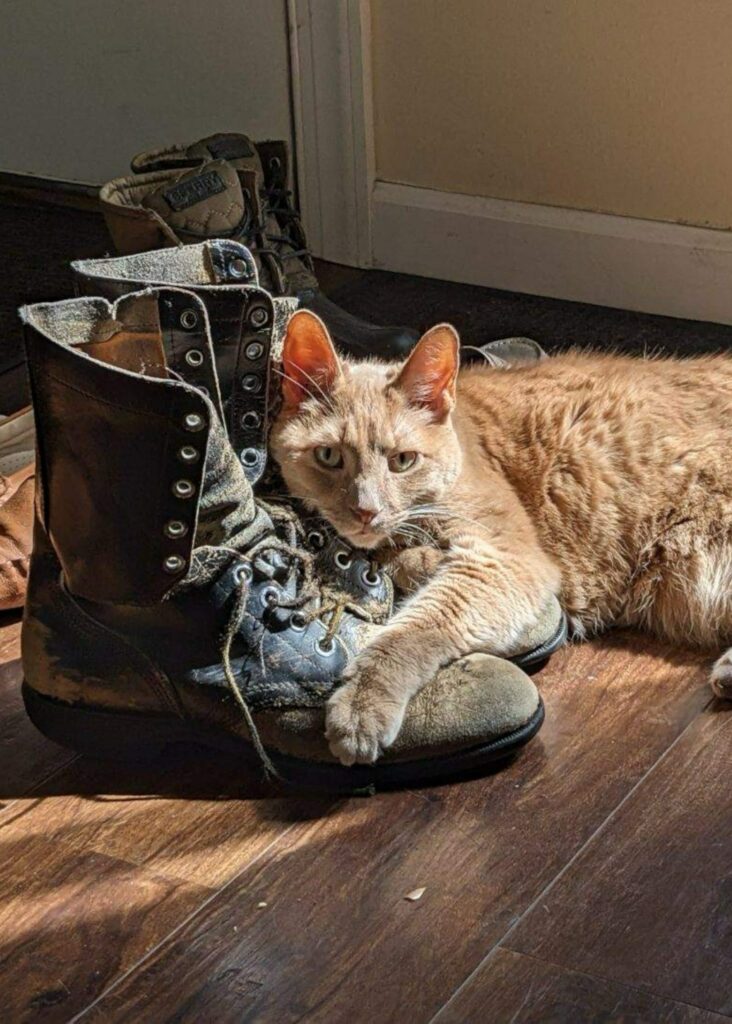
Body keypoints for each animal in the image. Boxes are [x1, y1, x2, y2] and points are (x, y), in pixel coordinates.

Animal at [270, 307, 732, 765]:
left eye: (403, 461)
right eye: (329, 456)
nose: (366, 510)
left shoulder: (505, 560)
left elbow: (414, 628)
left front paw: (362, 701)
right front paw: (416, 560)